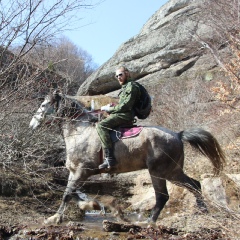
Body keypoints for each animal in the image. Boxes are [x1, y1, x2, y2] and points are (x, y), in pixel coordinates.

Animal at [29, 91, 226, 225]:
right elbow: (72, 193)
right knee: (195, 185)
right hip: (174, 172)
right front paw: (91, 205)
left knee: (163, 196)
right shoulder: (74, 172)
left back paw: (149, 222)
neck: (79, 131)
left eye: (43, 105)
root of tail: (178, 135)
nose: (31, 125)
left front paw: (55, 217)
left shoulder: (82, 171)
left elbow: (67, 194)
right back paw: (202, 210)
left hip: (160, 172)